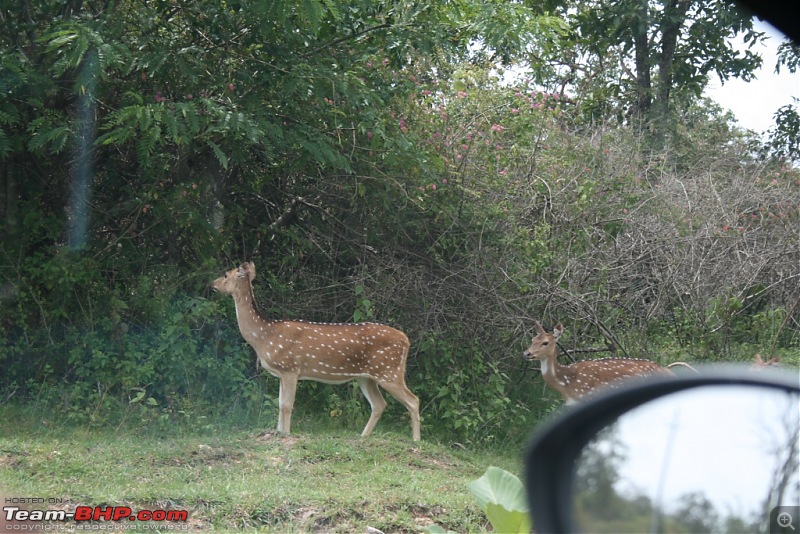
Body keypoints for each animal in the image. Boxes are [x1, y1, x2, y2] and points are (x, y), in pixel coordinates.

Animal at [212, 264, 424, 444]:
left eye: (226, 274)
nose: (212, 284)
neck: (264, 336)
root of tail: (406, 340)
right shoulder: (282, 373)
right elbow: (280, 403)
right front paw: (279, 432)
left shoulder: (290, 368)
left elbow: (287, 405)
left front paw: (286, 434)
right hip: (367, 377)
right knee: (379, 404)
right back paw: (362, 437)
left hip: (389, 371)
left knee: (413, 400)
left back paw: (416, 440)